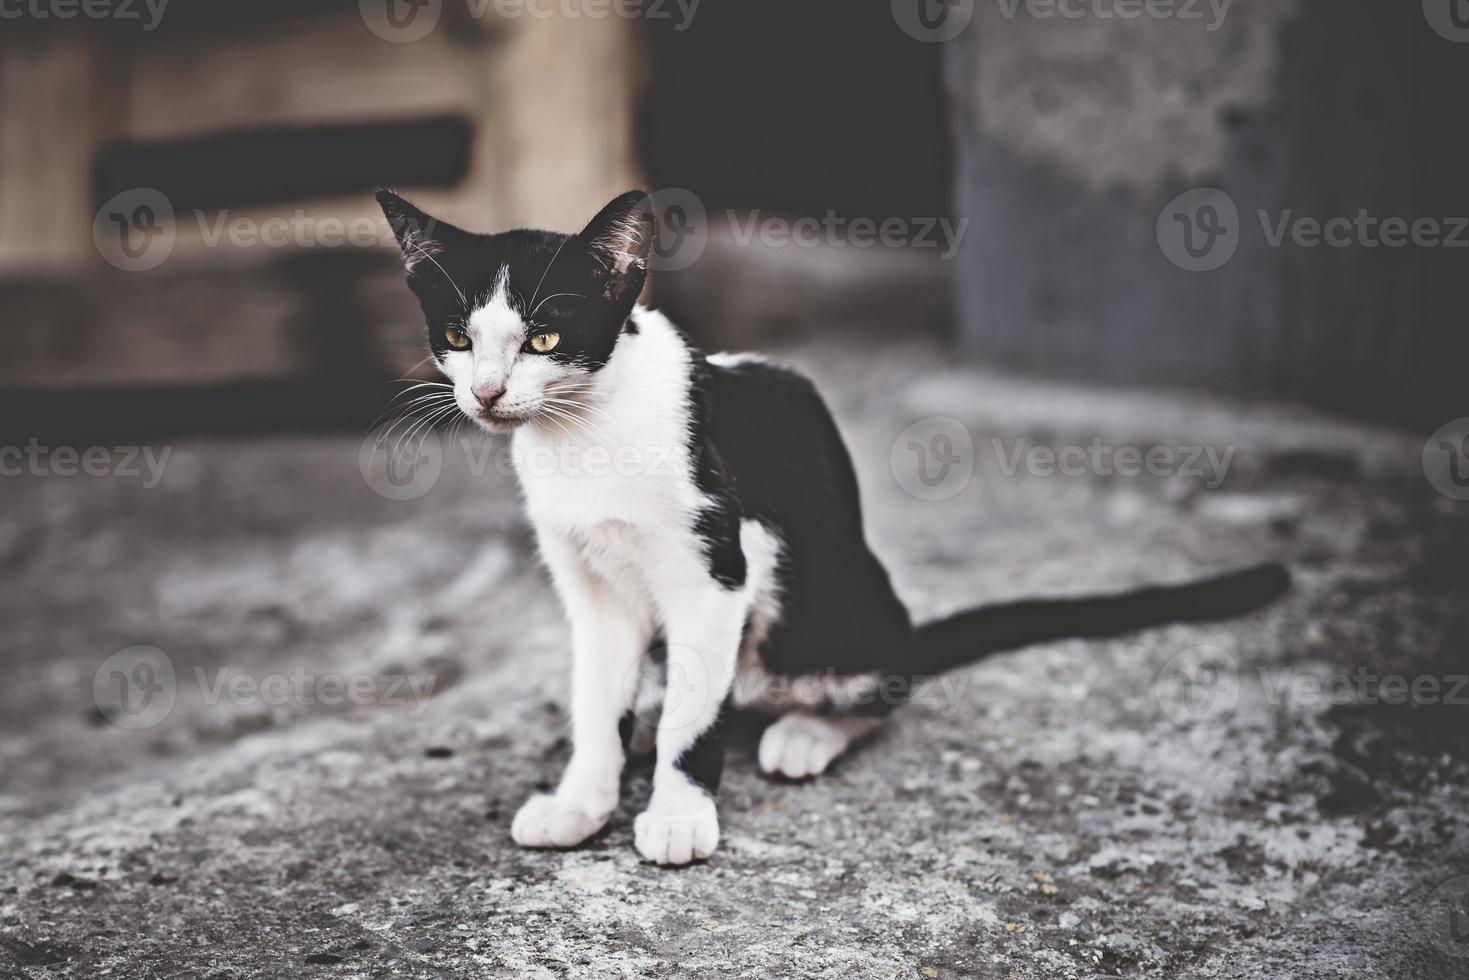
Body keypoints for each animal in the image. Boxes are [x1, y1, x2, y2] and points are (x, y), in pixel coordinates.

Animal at [376, 189, 1286, 863]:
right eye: (456, 337)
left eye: (544, 337)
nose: (486, 394)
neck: (584, 432)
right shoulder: (590, 587)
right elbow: (597, 700)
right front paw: (581, 800)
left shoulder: (719, 569)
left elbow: (694, 719)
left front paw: (677, 814)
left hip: (834, 607)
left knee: (876, 686)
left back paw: (804, 733)